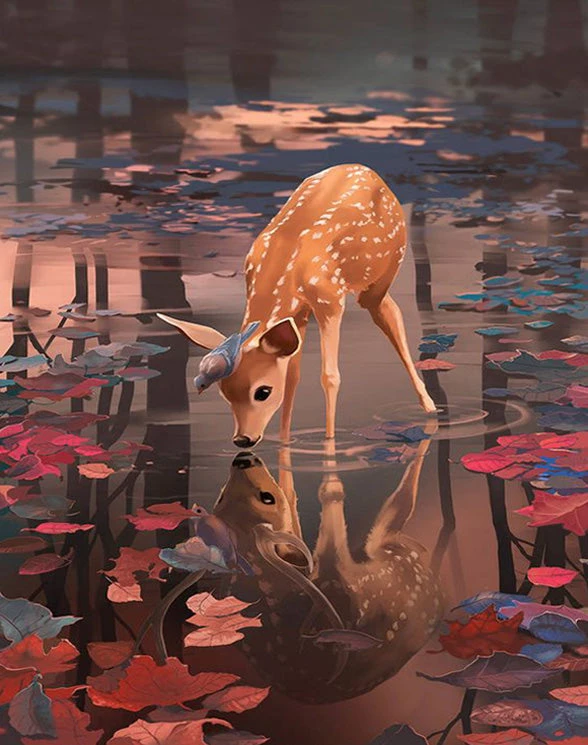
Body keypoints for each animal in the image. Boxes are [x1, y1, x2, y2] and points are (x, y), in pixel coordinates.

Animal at [157, 163, 436, 448]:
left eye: (263, 391)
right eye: (224, 392)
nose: (243, 439)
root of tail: (368, 170)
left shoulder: (329, 300)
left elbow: (330, 376)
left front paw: (329, 442)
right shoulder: (298, 312)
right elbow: (292, 376)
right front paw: (285, 440)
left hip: (384, 266)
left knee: (389, 312)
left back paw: (430, 407)